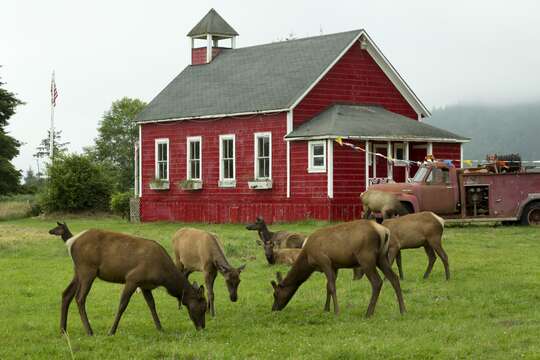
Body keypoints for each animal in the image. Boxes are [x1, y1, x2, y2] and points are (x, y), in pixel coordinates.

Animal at [49, 221, 207, 336]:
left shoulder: (145, 285)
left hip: (78, 270)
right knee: (80, 297)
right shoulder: (133, 279)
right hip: (88, 269)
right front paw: (111, 331)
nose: (202, 327)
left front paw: (160, 328)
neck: (164, 276)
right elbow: (122, 305)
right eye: (203, 306)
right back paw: (89, 331)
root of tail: (71, 242)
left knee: (66, 294)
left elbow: (152, 305)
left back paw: (63, 330)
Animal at [270, 219, 404, 318]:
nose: (274, 309)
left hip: (366, 257)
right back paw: (403, 310)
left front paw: (336, 311)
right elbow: (328, 286)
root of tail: (385, 231)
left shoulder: (324, 261)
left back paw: (368, 313)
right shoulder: (335, 265)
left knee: (377, 282)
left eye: (276, 294)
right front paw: (326, 308)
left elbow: (332, 286)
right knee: (394, 278)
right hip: (382, 257)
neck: (308, 258)